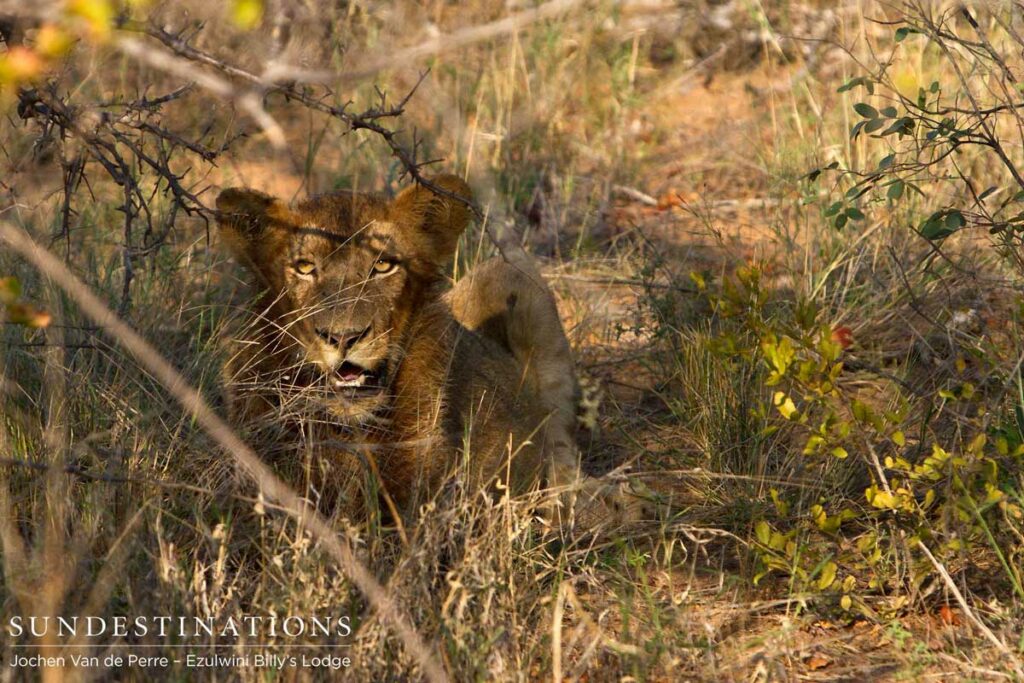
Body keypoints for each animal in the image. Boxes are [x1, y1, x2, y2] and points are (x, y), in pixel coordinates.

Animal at [214, 174, 638, 528]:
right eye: (304, 268)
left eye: (383, 265)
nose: (343, 336)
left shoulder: (431, 498)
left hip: (510, 271)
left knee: (560, 446)